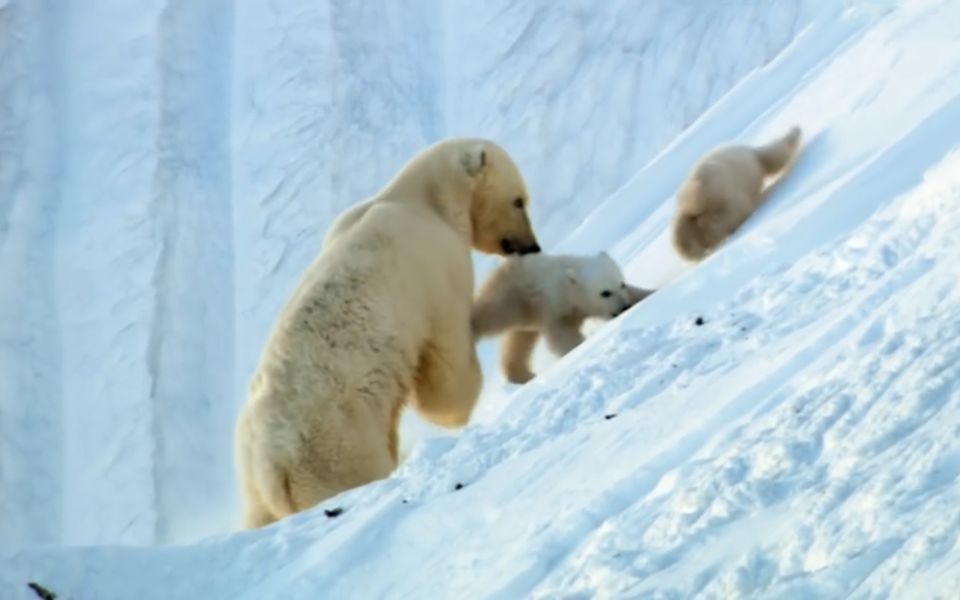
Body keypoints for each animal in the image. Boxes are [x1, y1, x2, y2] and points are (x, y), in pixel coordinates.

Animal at [234, 138, 540, 528]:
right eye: (519, 200)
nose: (532, 246)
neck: (417, 200)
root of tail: (271, 471)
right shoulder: (436, 266)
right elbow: (445, 378)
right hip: (335, 445)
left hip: (254, 486)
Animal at [472, 252, 652, 384]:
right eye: (605, 293)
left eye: (621, 284)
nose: (625, 307)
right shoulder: (555, 305)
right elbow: (562, 336)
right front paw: (577, 351)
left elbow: (636, 292)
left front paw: (650, 293)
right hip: (511, 297)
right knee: (492, 313)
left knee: (520, 338)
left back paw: (520, 374)